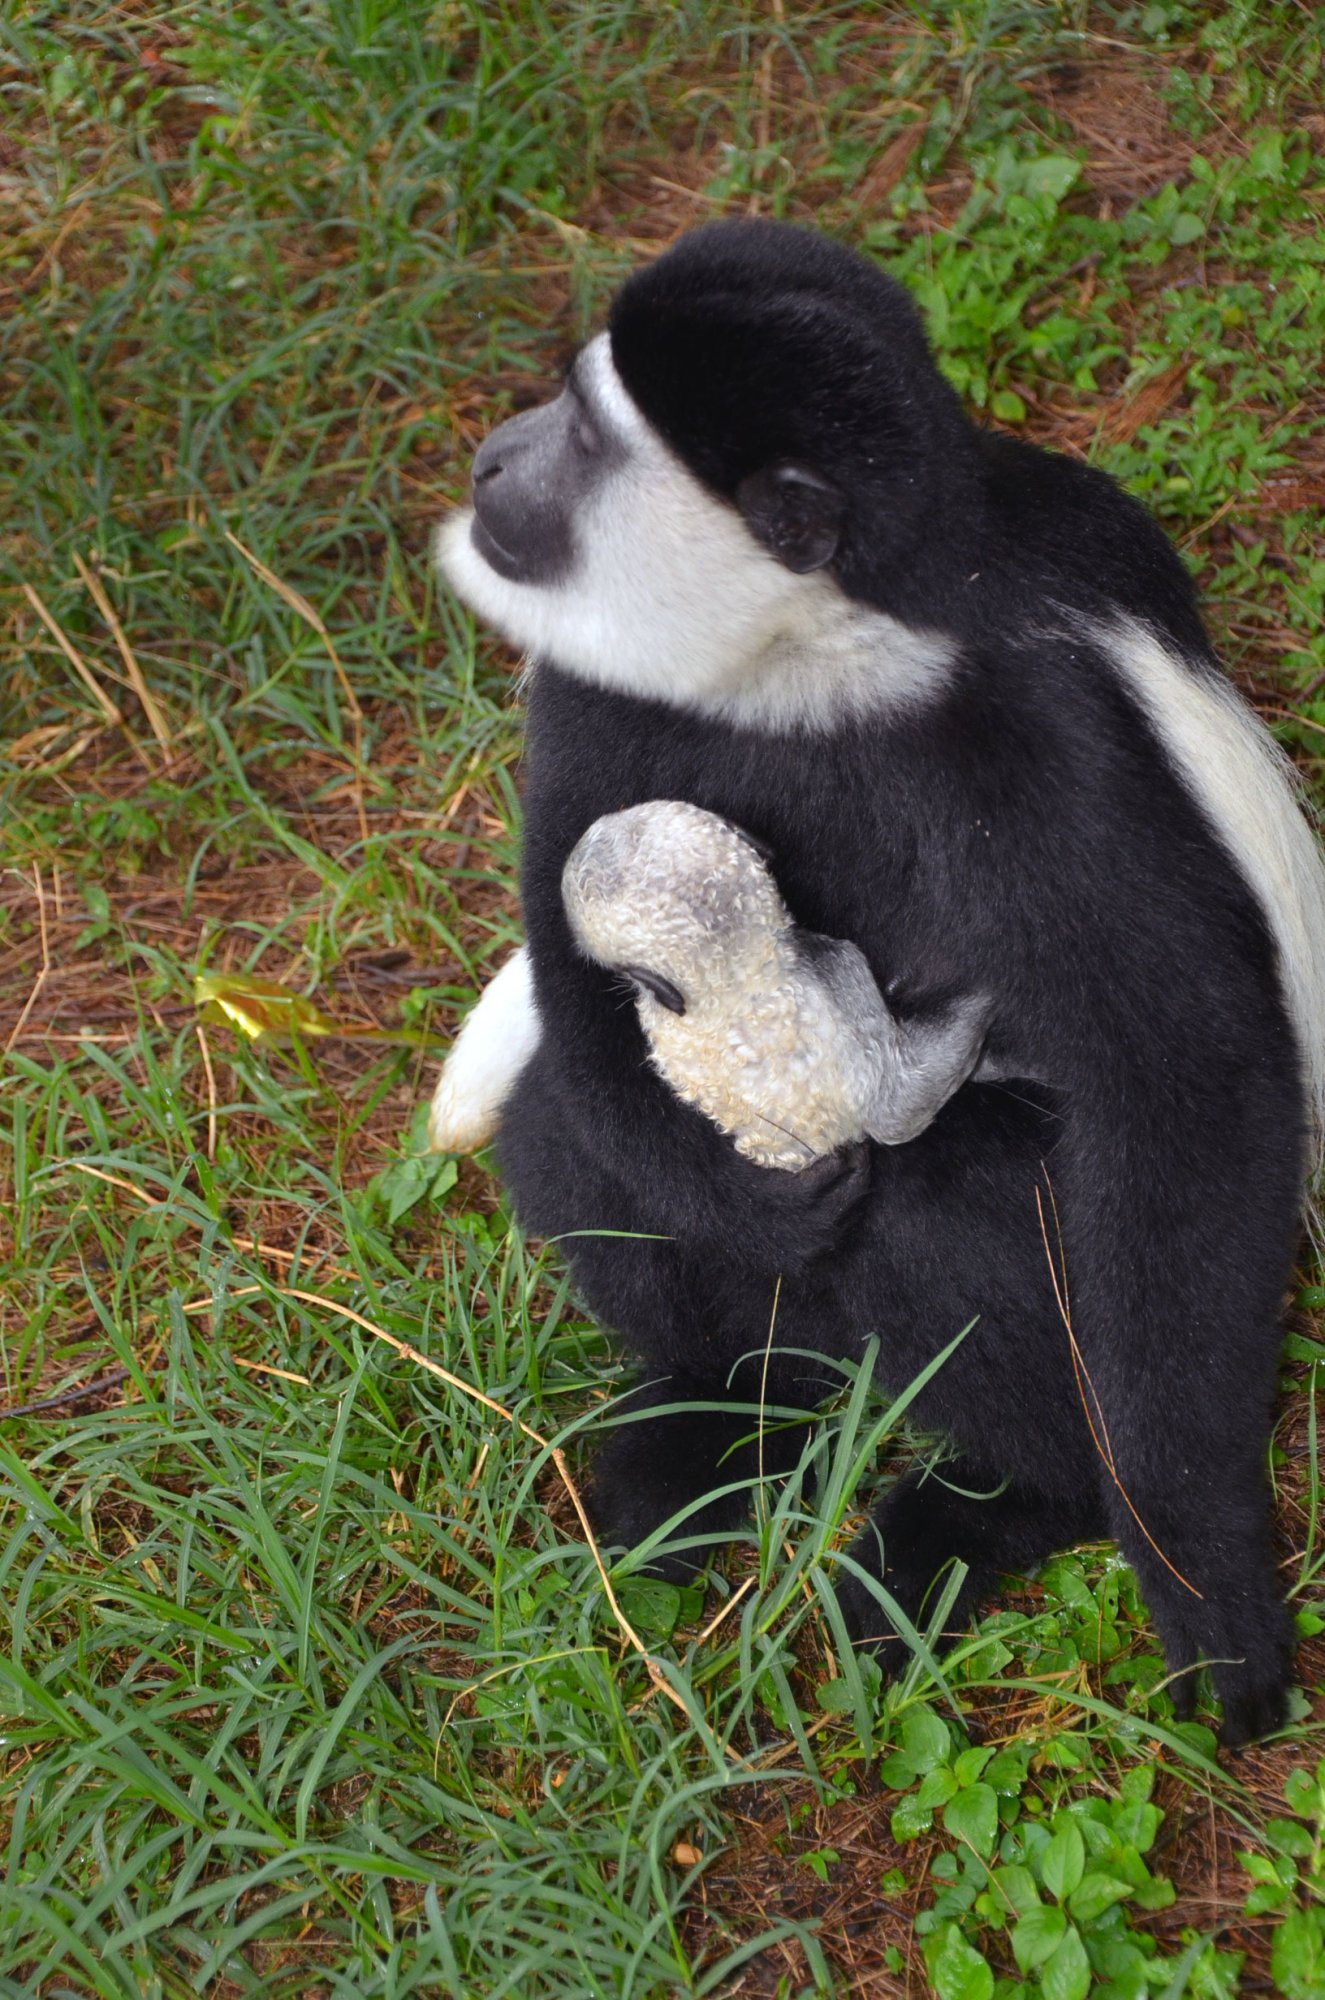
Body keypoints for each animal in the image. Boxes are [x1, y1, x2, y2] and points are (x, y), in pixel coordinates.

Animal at [436, 223, 1325, 1752]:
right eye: (561, 401)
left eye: (585, 435)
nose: (494, 459)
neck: (814, 663)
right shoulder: (606, 690)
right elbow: (564, 930)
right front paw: (751, 1190)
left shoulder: (1046, 742)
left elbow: (1184, 1087)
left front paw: (1207, 1593)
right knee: (572, 1128)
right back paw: (716, 1430)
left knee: (951, 1207)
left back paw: (991, 1510)